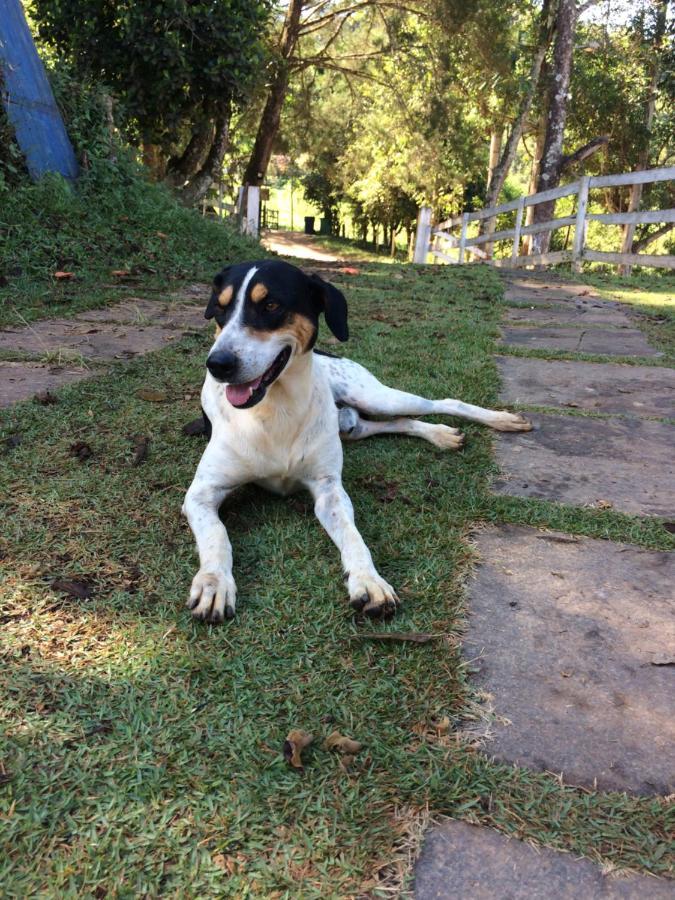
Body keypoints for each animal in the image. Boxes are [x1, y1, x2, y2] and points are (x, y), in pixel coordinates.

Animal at [182, 260, 532, 624]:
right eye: (220, 309)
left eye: (271, 305)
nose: (218, 364)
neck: (274, 410)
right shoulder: (201, 495)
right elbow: (217, 536)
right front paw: (214, 583)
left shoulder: (329, 491)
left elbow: (354, 537)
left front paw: (369, 581)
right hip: (354, 426)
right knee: (396, 422)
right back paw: (441, 434)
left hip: (376, 397)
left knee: (441, 402)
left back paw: (496, 421)